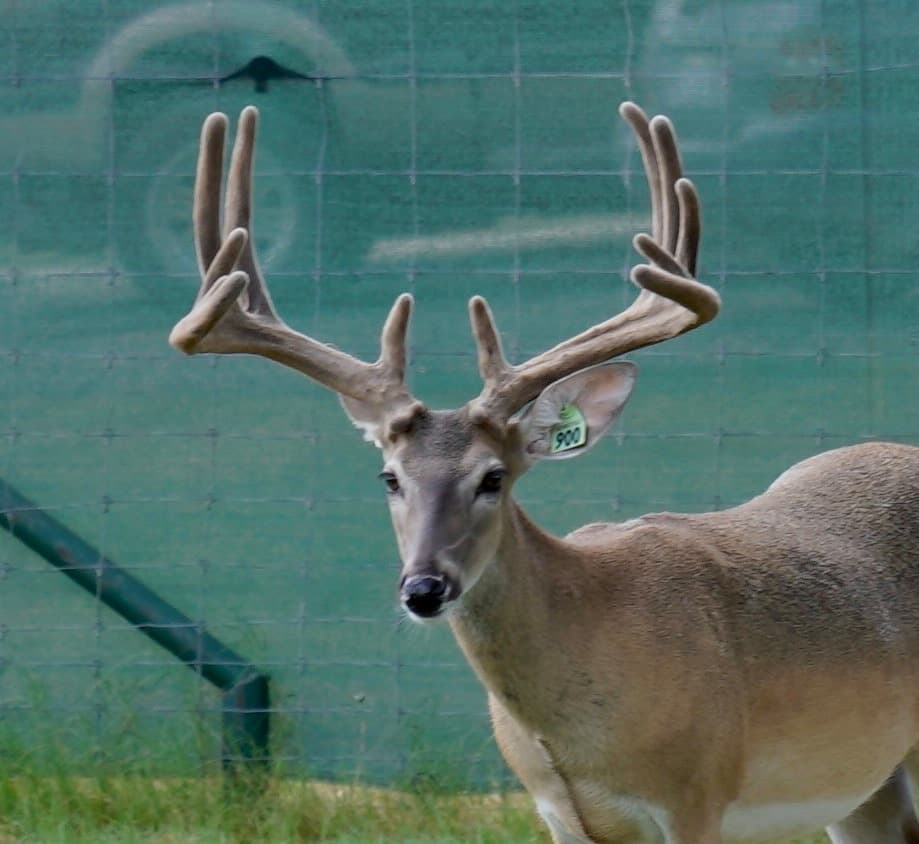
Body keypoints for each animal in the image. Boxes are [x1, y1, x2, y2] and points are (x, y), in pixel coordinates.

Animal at [169, 100, 919, 844]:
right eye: (389, 478)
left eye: (492, 478)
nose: (424, 589)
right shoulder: (557, 812)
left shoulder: (698, 792)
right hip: (863, 784)